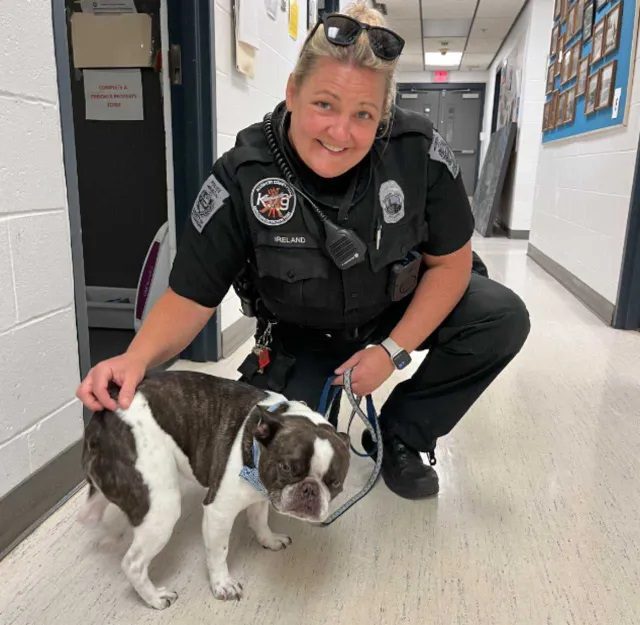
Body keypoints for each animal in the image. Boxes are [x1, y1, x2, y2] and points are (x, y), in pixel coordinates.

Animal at [79, 368, 352, 608]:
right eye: (286, 467)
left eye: (335, 482)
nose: (310, 490)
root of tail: (105, 414)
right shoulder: (219, 512)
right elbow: (219, 551)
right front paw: (223, 584)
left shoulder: (260, 495)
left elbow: (260, 519)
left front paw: (269, 539)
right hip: (162, 509)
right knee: (133, 563)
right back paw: (155, 597)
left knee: (96, 508)